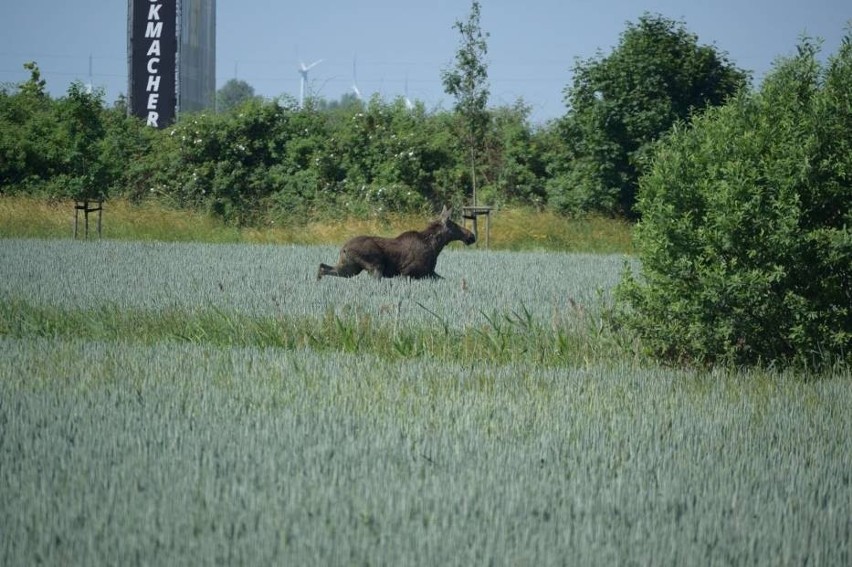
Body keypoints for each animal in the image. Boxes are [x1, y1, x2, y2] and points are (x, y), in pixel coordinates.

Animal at [316, 206, 476, 282]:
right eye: (454, 225)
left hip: (350, 268)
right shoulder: (406, 272)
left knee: (323, 266)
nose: (471, 236)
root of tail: (343, 249)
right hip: (375, 266)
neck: (436, 247)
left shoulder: (429, 273)